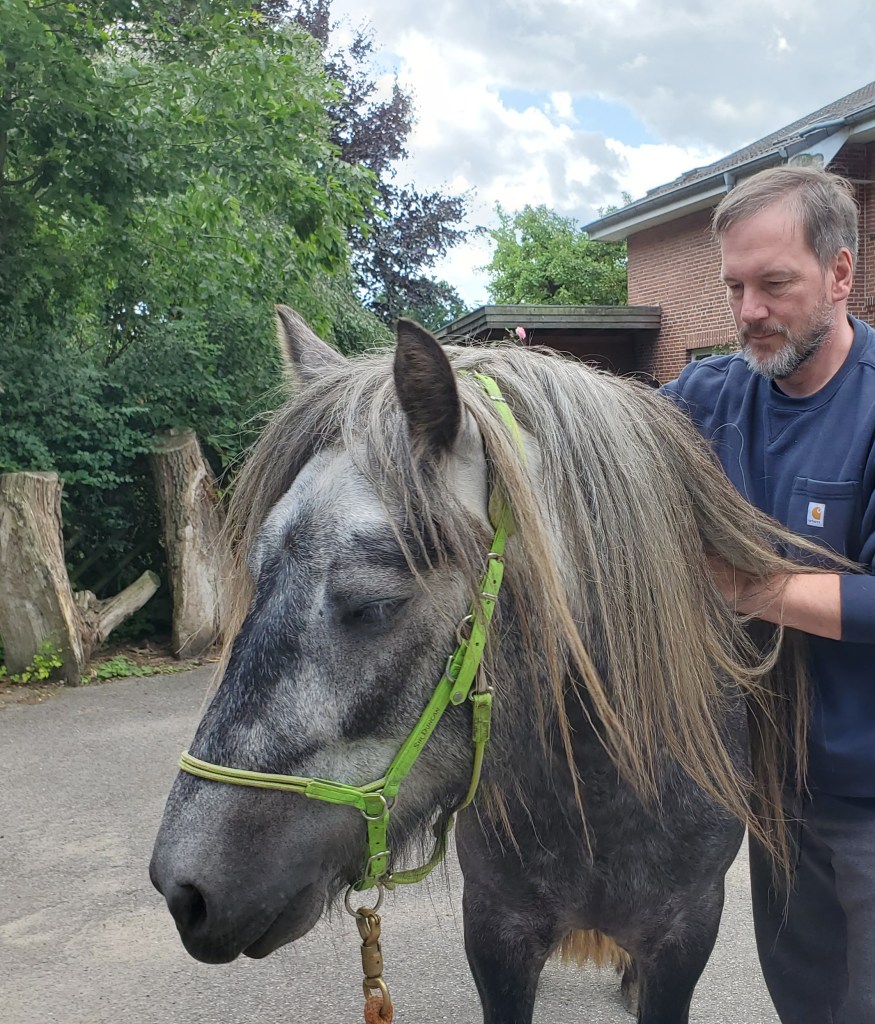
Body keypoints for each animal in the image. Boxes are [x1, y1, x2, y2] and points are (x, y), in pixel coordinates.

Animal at [151, 309, 817, 1023]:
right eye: (257, 576)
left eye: (373, 605)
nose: (184, 889)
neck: (598, 795)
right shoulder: (497, 934)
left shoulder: (686, 933)